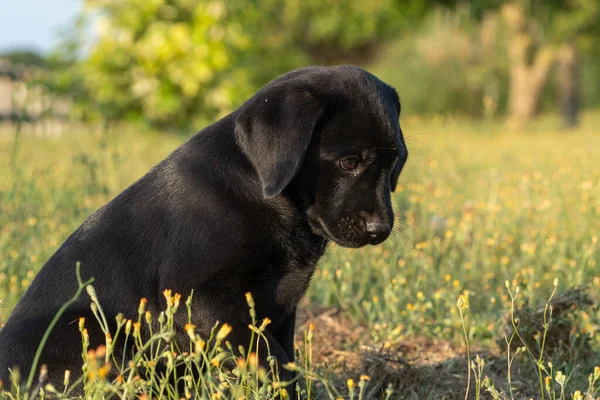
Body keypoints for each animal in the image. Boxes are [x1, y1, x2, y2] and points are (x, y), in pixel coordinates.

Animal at [0, 65, 408, 388]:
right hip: (91, 330)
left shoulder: (280, 308)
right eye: (349, 162)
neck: (262, 192)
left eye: (397, 164)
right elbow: (270, 359)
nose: (380, 230)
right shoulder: (200, 299)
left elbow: (283, 359)